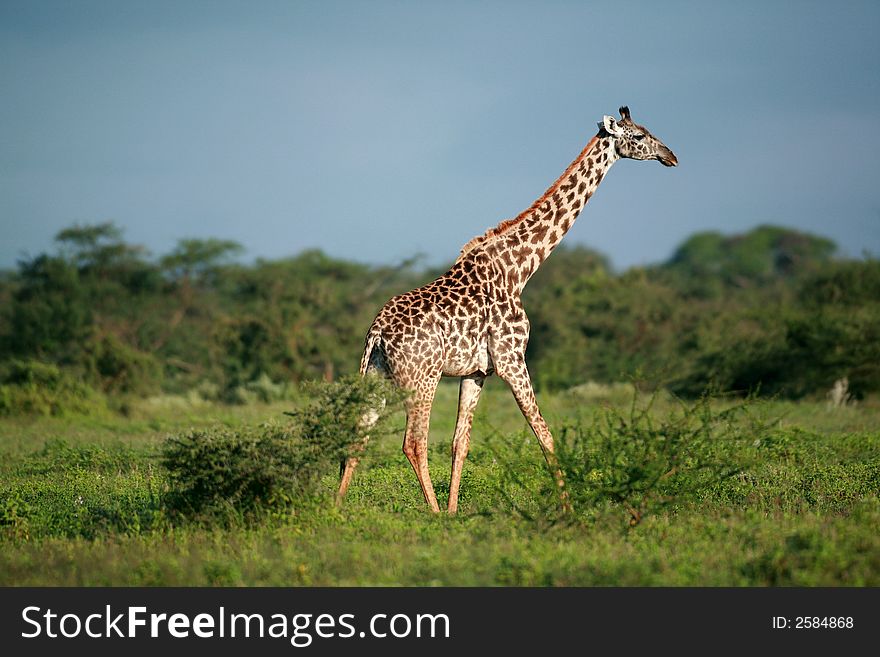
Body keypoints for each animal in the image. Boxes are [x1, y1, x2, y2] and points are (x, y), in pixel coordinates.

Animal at [336, 105, 672, 512]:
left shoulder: (477, 371)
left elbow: (460, 443)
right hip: (422, 377)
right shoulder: (512, 358)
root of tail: (377, 332)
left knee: (358, 436)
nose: (670, 156)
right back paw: (431, 514)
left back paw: (335, 509)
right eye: (638, 136)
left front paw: (455, 513)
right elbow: (545, 434)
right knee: (413, 443)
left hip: (377, 376)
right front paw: (567, 509)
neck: (520, 267)